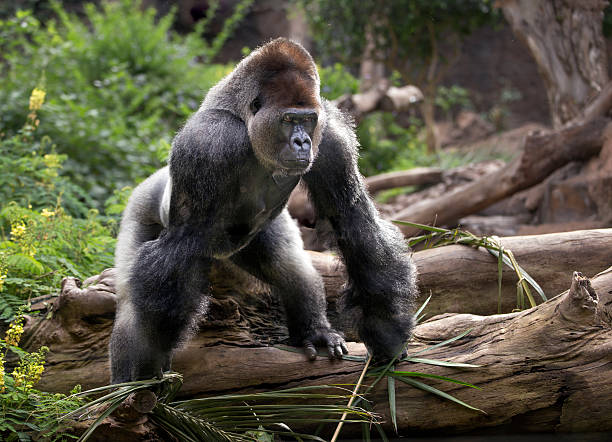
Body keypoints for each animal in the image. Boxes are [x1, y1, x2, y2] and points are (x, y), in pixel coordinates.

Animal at [109, 38, 416, 384]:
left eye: (307, 119)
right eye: (288, 120)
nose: (302, 142)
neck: (247, 123)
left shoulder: (331, 136)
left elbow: (352, 219)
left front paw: (386, 332)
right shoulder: (208, 144)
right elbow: (182, 243)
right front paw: (148, 365)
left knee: (288, 266)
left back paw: (313, 330)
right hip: (141, 203)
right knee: (132, 298)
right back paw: (125, 388)